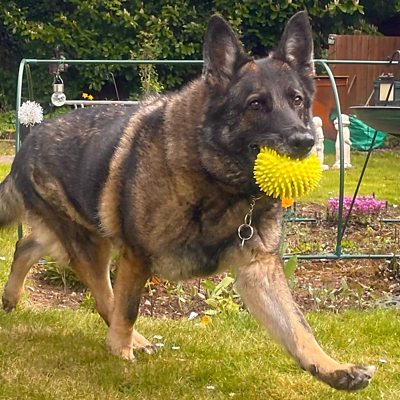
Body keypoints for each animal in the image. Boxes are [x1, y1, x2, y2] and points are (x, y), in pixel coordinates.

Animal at [0, 11, 375, 390]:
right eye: (256, 104)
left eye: (297, 100)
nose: (304, 141)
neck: (215, 177)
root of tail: (29, 140)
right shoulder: (136, 257)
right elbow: (127, 309)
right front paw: (121, 356)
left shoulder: (259, 271)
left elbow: (297, 327)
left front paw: (332, 368)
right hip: (90, 244)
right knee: (104, 299)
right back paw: (129, 342)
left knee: (27, 245)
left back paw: (11, 297)